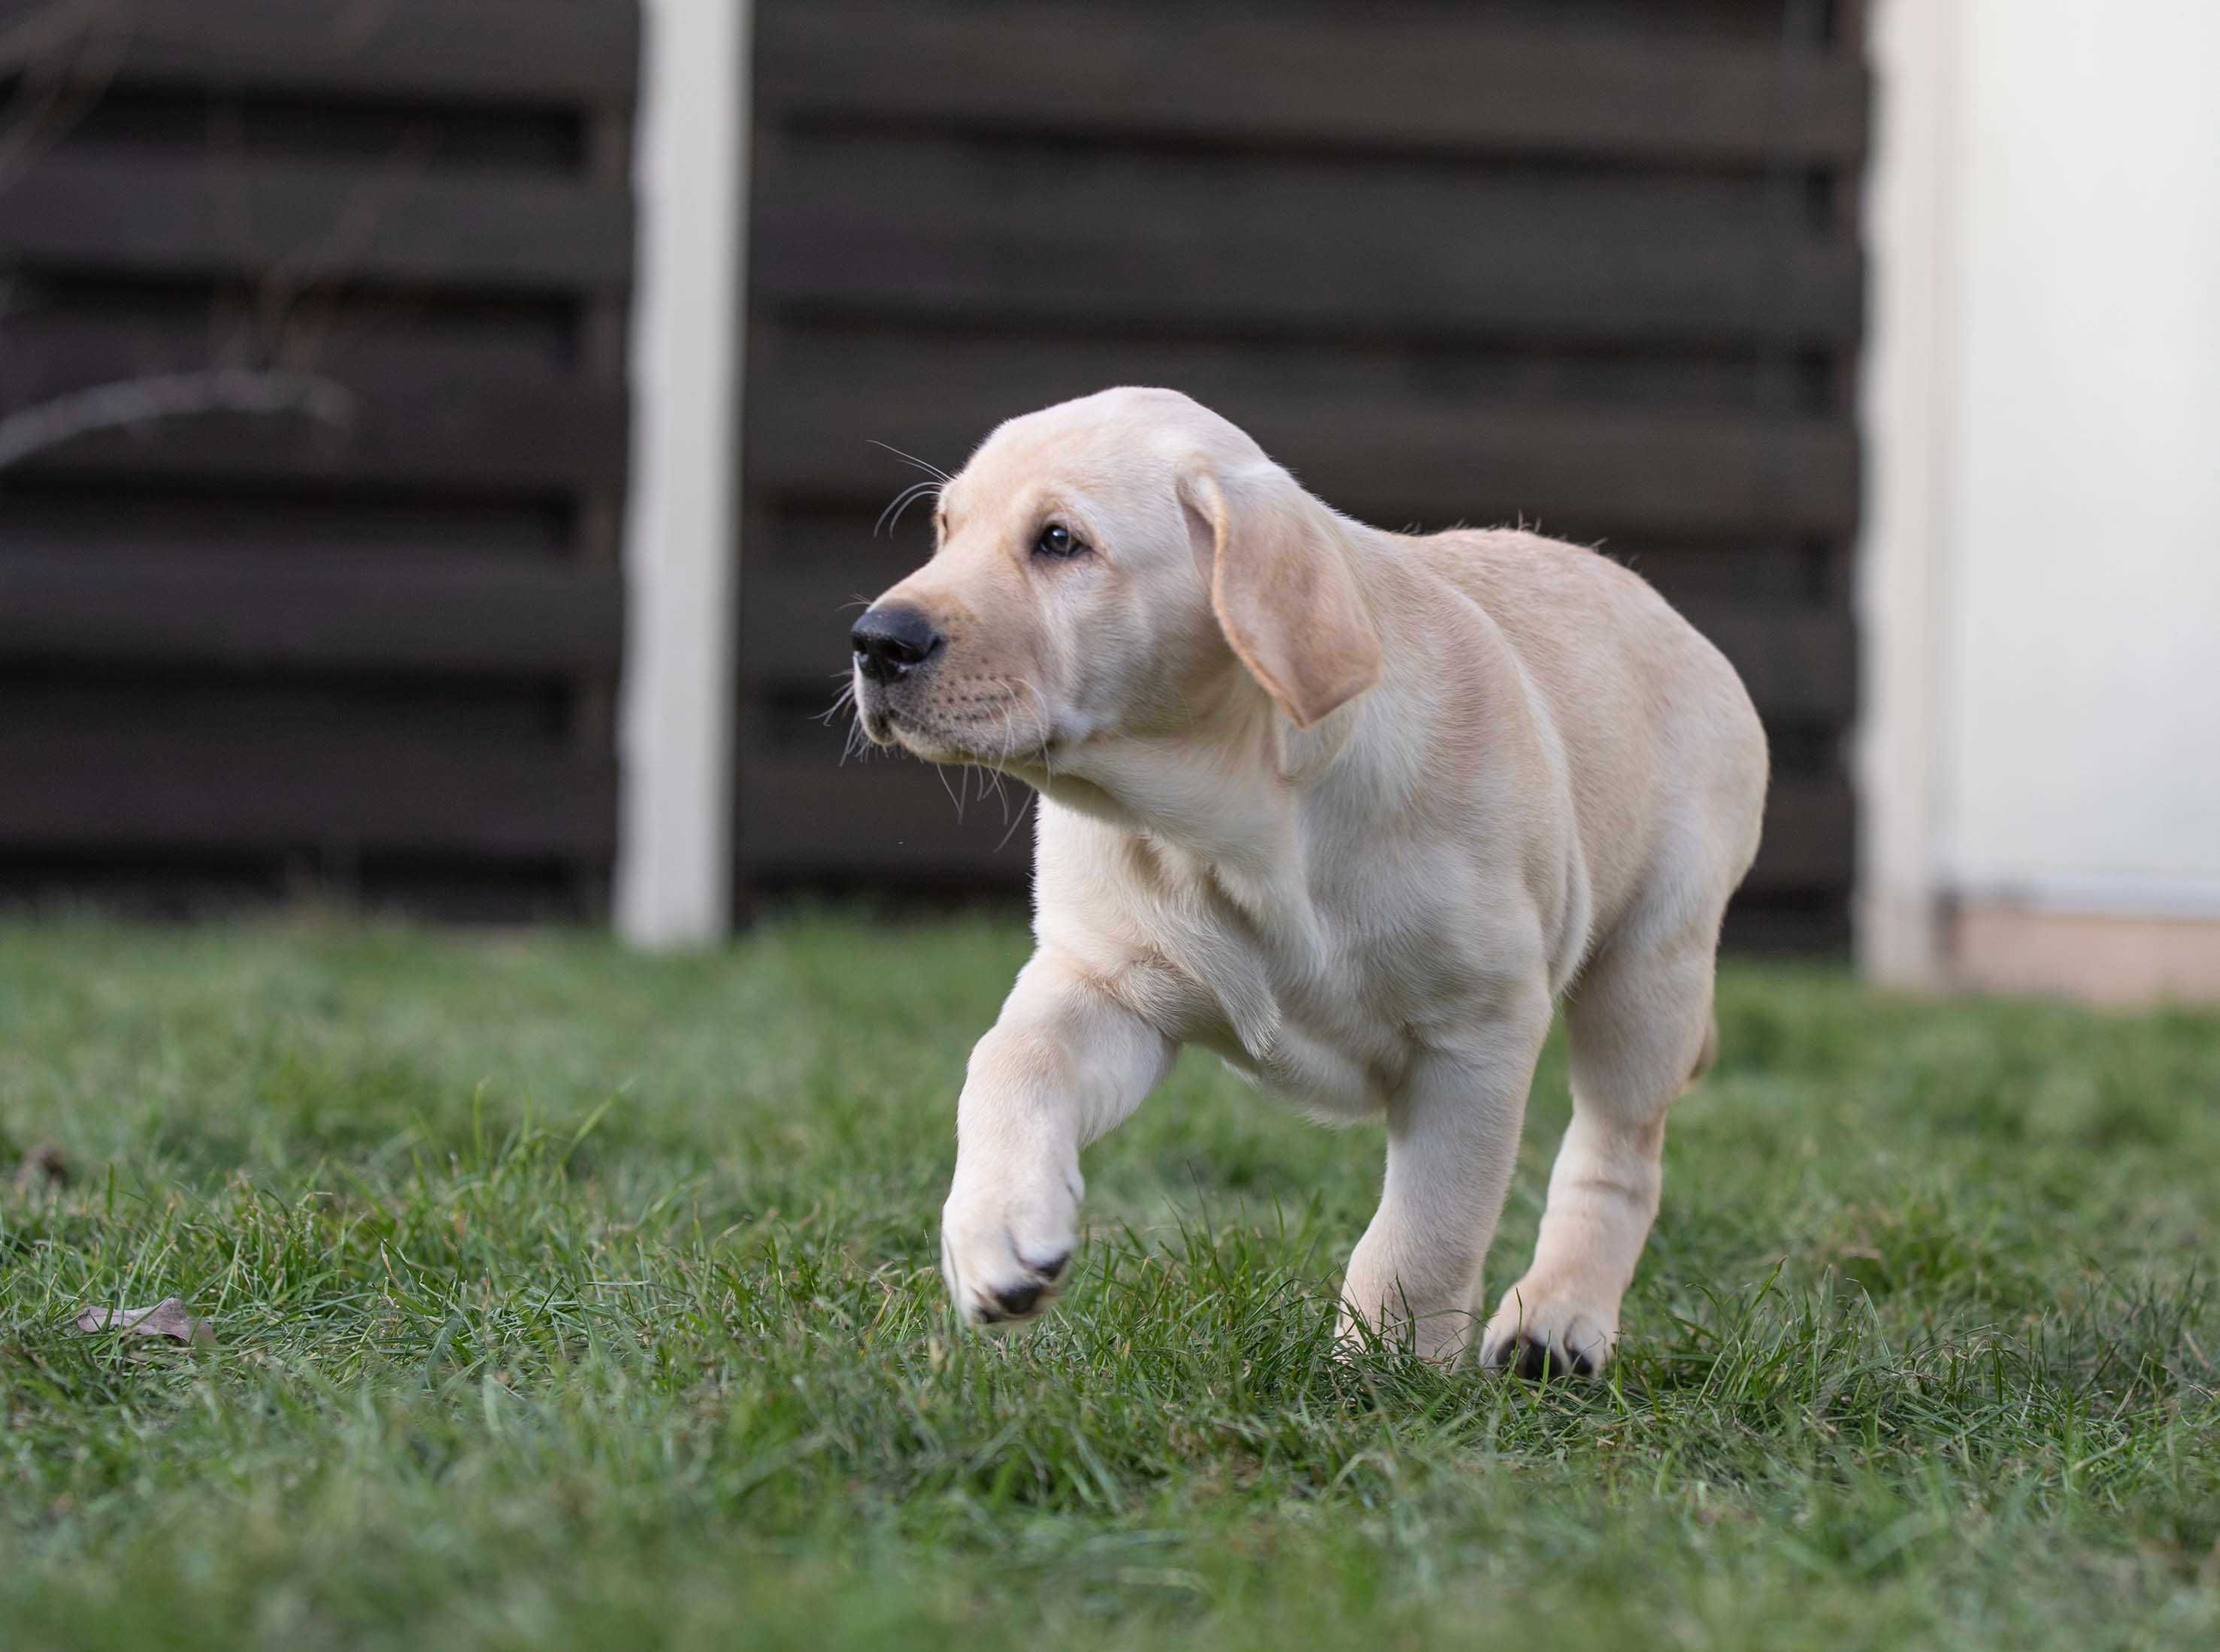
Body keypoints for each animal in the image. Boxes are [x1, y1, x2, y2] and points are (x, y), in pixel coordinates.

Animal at [848, 390, 1767, 1376]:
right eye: (945, 530)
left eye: (1059, 541)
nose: (875, 640)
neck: (1223, 825)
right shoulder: (1107, 984)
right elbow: (1009, 1061)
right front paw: (995, 1233)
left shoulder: (1476, 1032)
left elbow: (1428, 1222)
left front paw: (1387, 1366)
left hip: (1650, 965)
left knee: (1615, 1150)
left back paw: (1555, 1321)